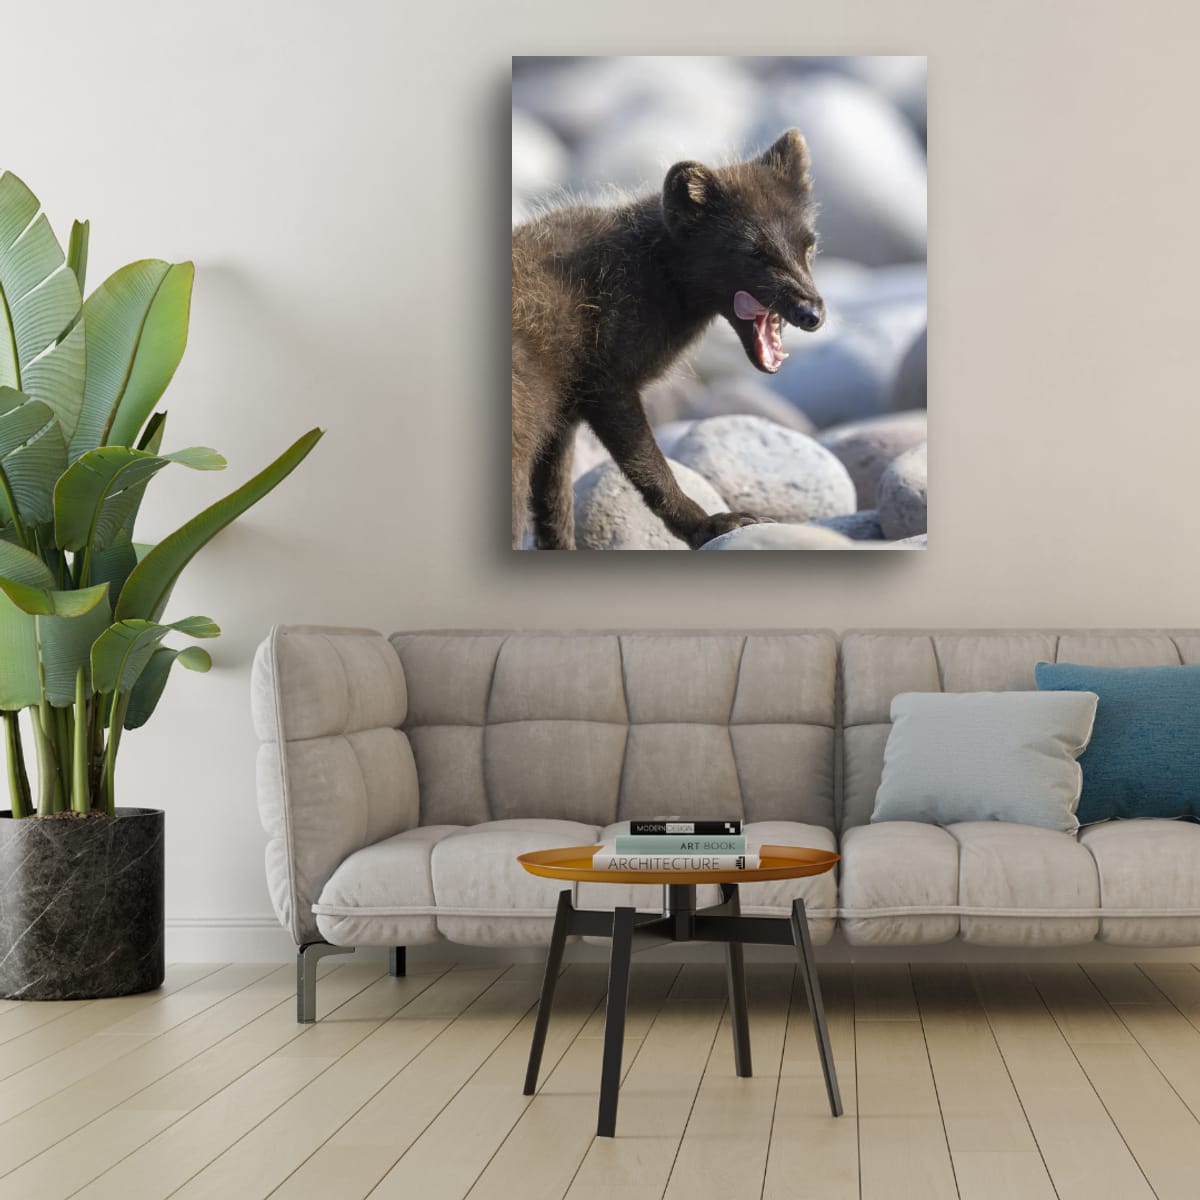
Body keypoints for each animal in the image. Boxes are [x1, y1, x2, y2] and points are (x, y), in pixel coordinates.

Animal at [511, 128, 825, 550]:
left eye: (808, 245)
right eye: (755, 253)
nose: (813, 314)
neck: (651, 269)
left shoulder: (561, 419)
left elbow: (553, 510)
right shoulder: (609, 387)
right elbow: (651, 469)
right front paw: (709, 525)